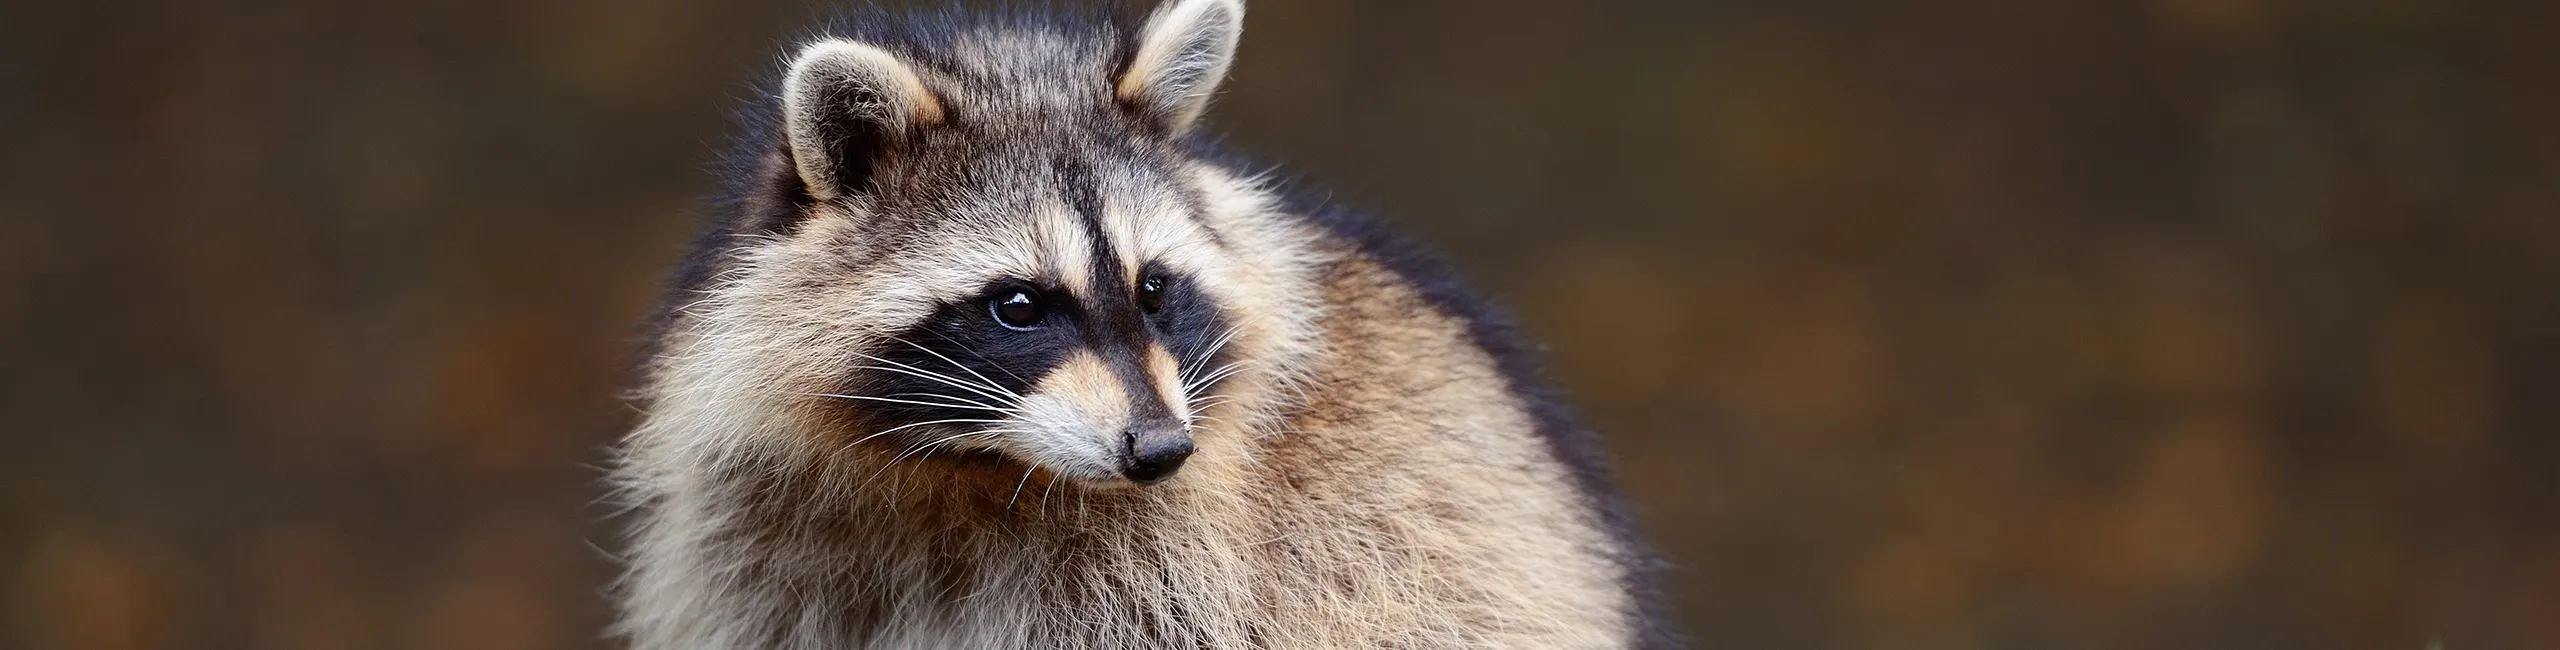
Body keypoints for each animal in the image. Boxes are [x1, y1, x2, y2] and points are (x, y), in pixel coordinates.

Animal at [609, 2, 1669, 647]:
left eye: (1156, 289)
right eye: (1019, 307)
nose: (1162, 451)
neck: (968, 461)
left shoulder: (1186, 567)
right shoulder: (758, 548)